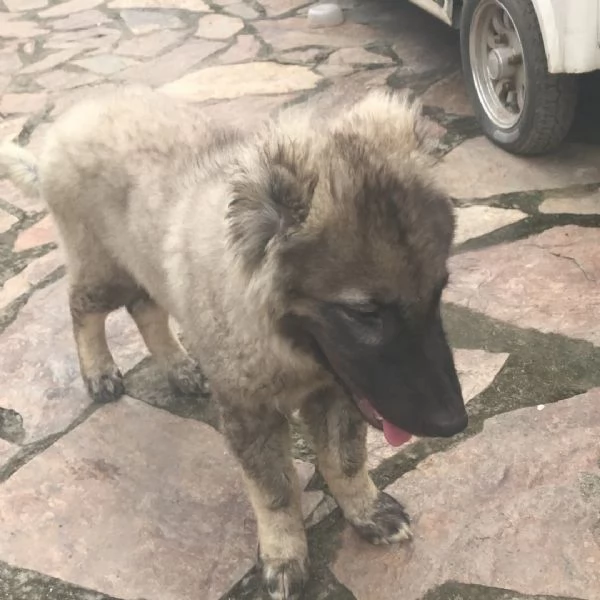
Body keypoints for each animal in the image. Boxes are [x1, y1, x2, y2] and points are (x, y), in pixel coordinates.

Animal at [0, 86, 468, 596]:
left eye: (439, 292)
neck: (286, 344)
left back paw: (180, 367)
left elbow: (345, 459)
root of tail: (69, 122)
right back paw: (98, 370)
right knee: (82, 307)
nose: (454, 424)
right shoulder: (252, 413)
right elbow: (275, 491)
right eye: (364, 313)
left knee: (147, 309)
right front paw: (285, 556)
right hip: (106, 269)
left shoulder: (338, 390)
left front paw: (367, 511)